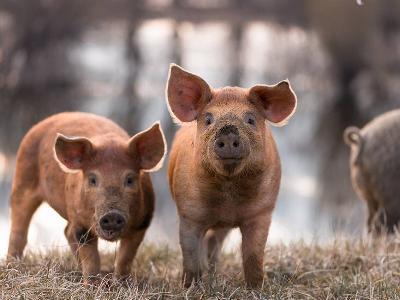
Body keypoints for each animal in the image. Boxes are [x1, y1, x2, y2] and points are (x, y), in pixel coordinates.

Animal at [6, 112, 166, 284]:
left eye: (129, 180)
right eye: (93, 179)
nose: (112, 215)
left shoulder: (142, 223)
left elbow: (125, 257)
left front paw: (120, 284)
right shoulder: (82, 226)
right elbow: (91, 258)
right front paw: (92, 285)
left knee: (66, 231)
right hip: (22, 179)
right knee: (19, 229)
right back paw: (12, 267)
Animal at [166, 63, 296, 288]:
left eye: (250, 119)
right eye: (208, 119)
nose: (228, 132)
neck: (228, 193)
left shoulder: (262, 212)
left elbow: (253, 254)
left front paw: (256, 288)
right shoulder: (189, 213)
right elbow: (190, 253)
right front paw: (189, 286)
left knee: (214, 242)